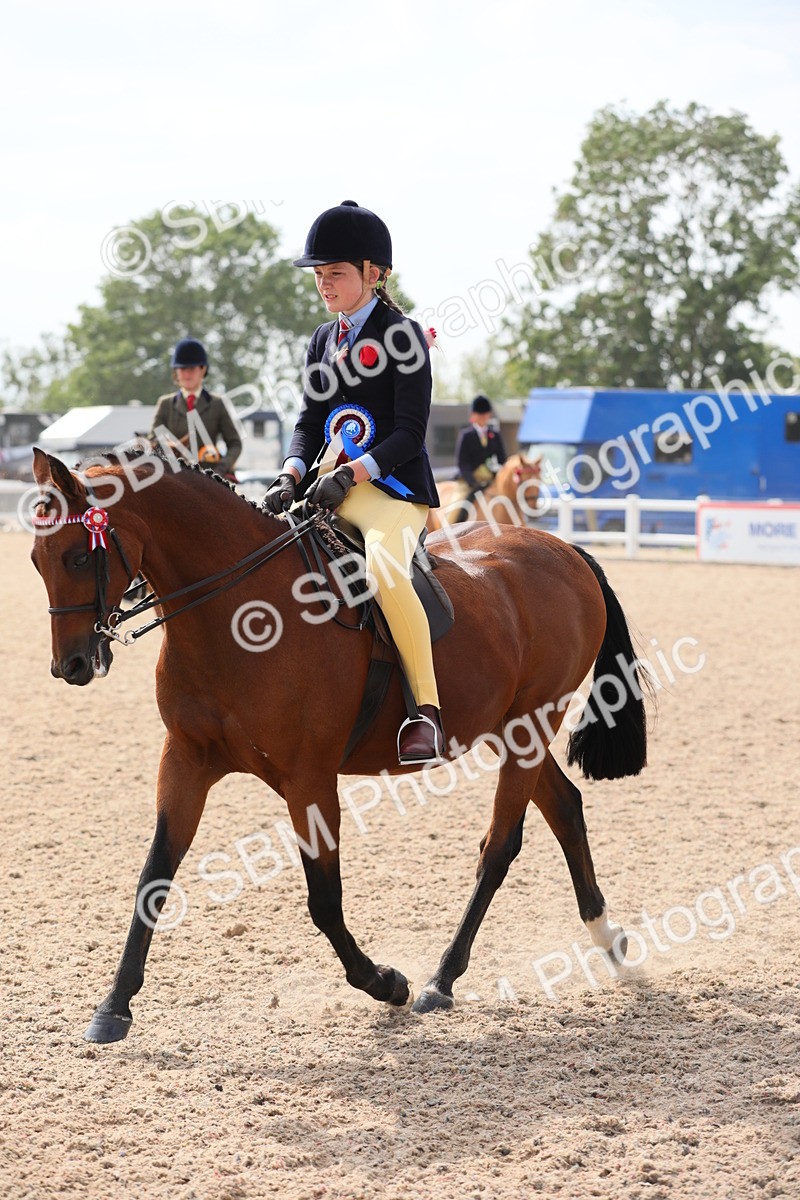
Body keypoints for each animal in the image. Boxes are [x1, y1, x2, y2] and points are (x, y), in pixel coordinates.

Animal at [30, 446, 647, 1043]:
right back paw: (610, 944)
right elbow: (152, 876)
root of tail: (564, 550)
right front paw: (113, 1007)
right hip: (508, 730)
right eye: (38, 560)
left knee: (500, 846)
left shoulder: (309, 778)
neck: (237, 612)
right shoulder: (185, 760)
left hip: (531, 725)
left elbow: (324, 903)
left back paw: (440, 980)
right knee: (564, 807)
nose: (71, 666)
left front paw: (387, 982)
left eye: (79, 558)